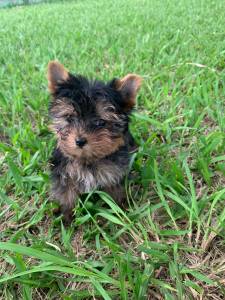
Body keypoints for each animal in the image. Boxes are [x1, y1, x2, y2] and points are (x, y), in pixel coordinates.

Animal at [47, 60, 142, 223]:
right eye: (69, 117)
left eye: (100, 122)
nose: (80, 141)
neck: (88, 159)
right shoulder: (64, 172)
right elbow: (66, 193)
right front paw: (67, 216)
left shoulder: (115, 172)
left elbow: (116, 191)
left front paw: (120, 211)